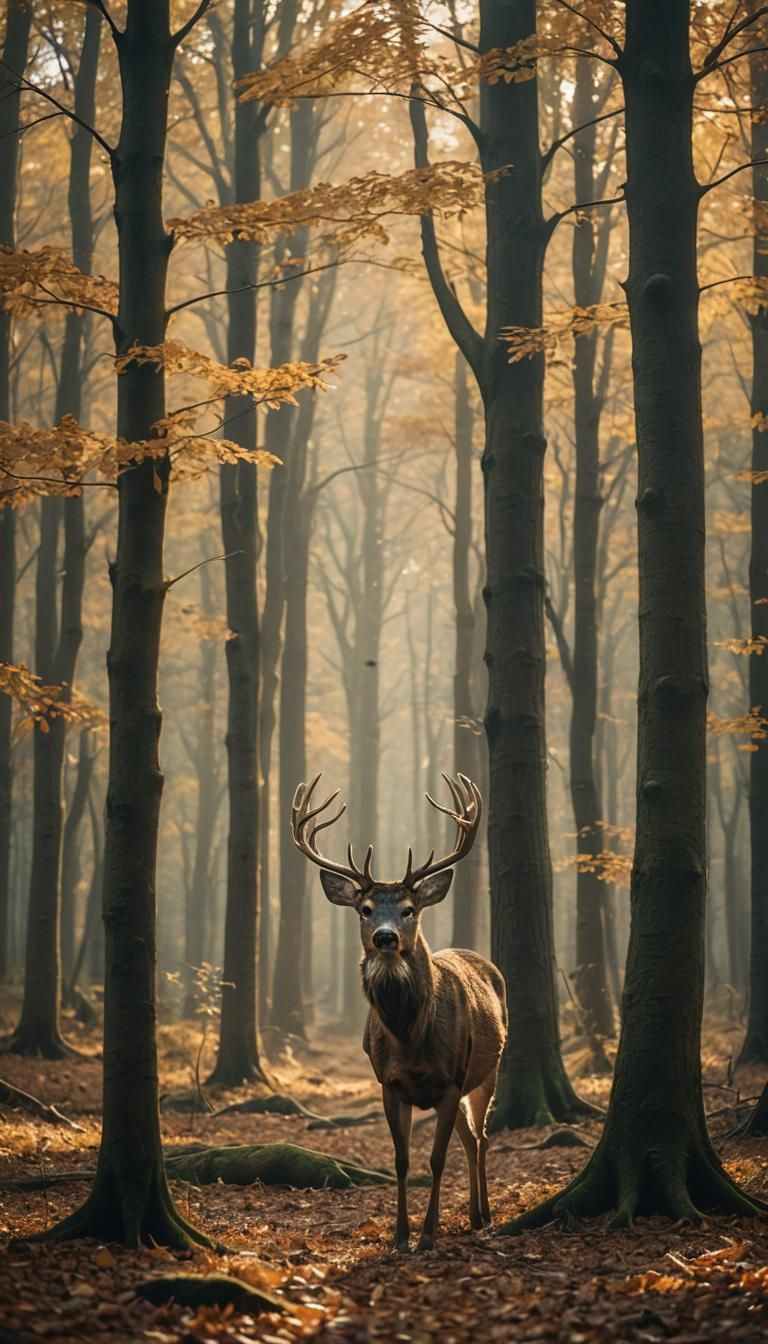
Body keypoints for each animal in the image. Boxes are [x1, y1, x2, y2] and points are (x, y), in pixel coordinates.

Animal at [291, 772, 508, 1252]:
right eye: (365, 909)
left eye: (409, 909)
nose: (385, 937)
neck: (410, 1038)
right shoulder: (388, 1083)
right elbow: (403, 1159)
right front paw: (399, 1235)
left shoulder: (451, 1078)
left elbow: (437, 1159)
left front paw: (427, 1235)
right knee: (471, 1138)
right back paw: (472, 1214)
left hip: (487, 1070)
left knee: (481, 1137)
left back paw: (484, 1215)